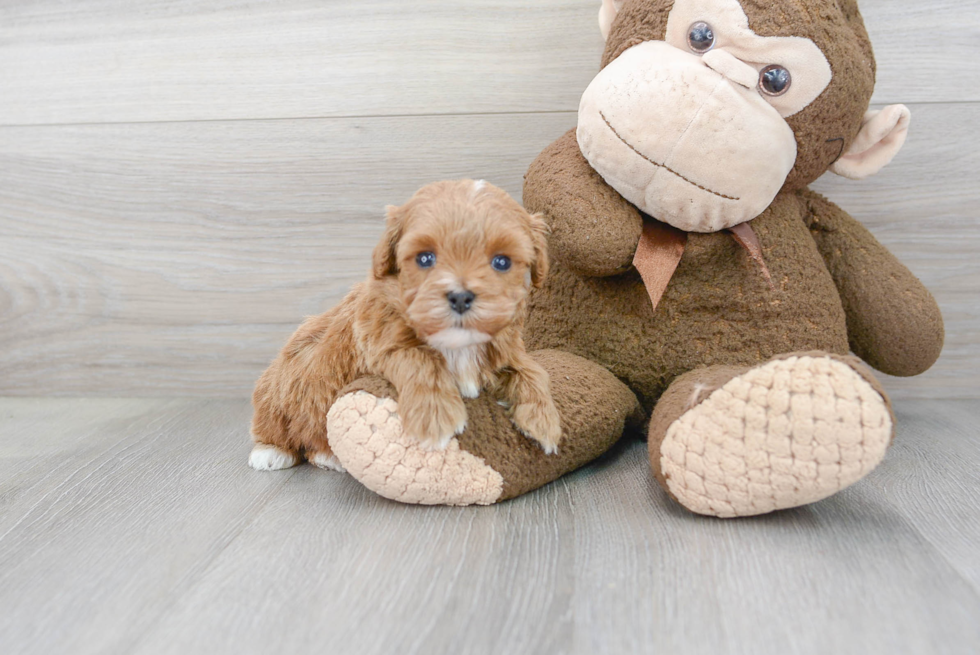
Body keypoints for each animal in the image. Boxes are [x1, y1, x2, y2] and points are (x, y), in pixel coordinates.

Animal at [249, 179, 564, 472]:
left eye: (501, 262)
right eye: (425, 258)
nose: (460, 297)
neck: (456, 343)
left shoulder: (505, 348)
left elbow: (531, 370)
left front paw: (544, 421)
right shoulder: (378, 342)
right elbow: (420, 358)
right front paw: (435, 418)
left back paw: (328, 456)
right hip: (278, 392)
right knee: (276, 426)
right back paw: (271, 452)